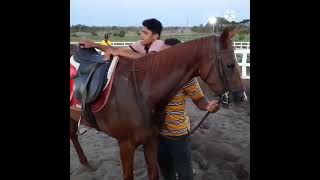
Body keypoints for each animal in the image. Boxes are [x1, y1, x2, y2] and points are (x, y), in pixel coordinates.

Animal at [69, 27, 245, 179]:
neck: (140, 90)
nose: (242, 97)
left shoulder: (151, 140)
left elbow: (153, 173)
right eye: (230, 65)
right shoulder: (126, 145)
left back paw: (85, 163)